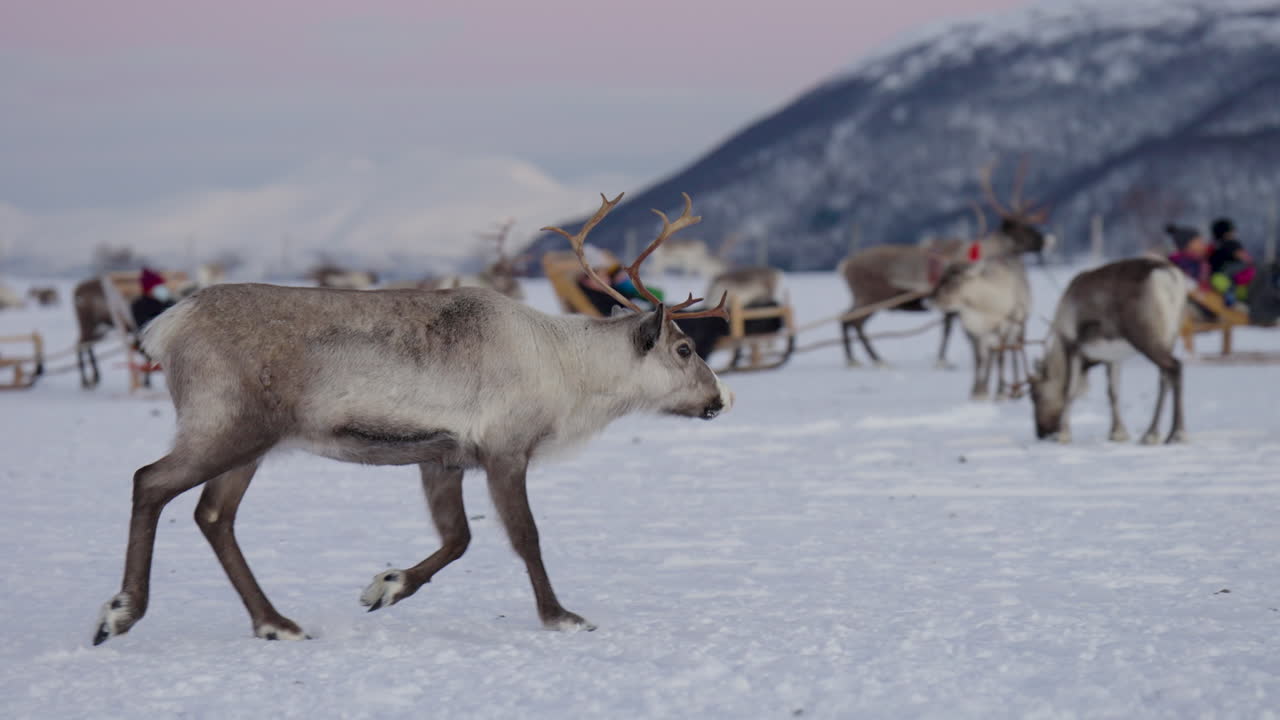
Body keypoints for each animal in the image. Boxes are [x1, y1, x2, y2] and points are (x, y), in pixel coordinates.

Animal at [91, 192, 734, 646]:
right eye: (684, 349)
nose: (721, 399)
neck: (569, 373)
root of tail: (166, 325)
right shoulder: (505, 448)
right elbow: (524, 536)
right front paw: (561, 616)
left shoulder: (443, 456)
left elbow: (459, 538)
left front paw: (386, 586)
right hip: (226, 426)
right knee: (150, 482)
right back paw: (121, 612)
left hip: (251, 444)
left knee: (213, 515)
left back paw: (277, 623)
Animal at [1028, 257, 1189, 445]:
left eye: (1035, 395)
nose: (1041, 433)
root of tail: (1168, 277)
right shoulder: (1113, 357)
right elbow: (1113, 392)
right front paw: (1117, 433)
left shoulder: (1072, 345)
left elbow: (1070, 390)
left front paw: (1063, 434)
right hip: (1169, 336)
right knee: (1165, 377)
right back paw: (1152, 434)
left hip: (1144, 336)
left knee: (1175, 366)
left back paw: (1177, 433)